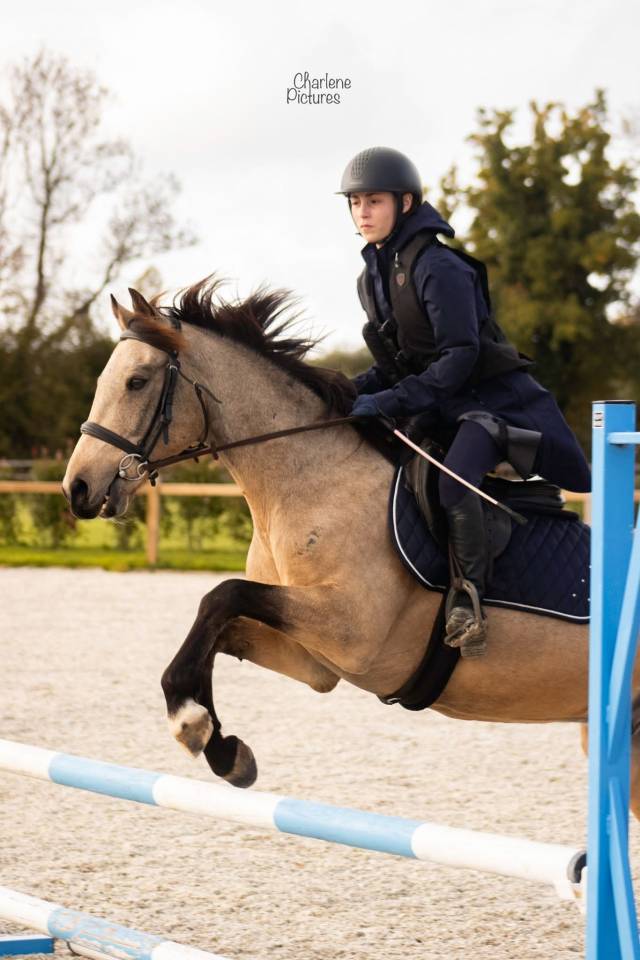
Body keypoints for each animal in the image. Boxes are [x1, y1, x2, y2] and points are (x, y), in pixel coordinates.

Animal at [62, 277, 640, 816]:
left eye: (136, 382)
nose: (78, 489)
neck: (309, 480)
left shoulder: (350, 629)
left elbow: (221, 595)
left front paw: (191, 723)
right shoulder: (315, 658)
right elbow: (218, 629)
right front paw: (223, 747)